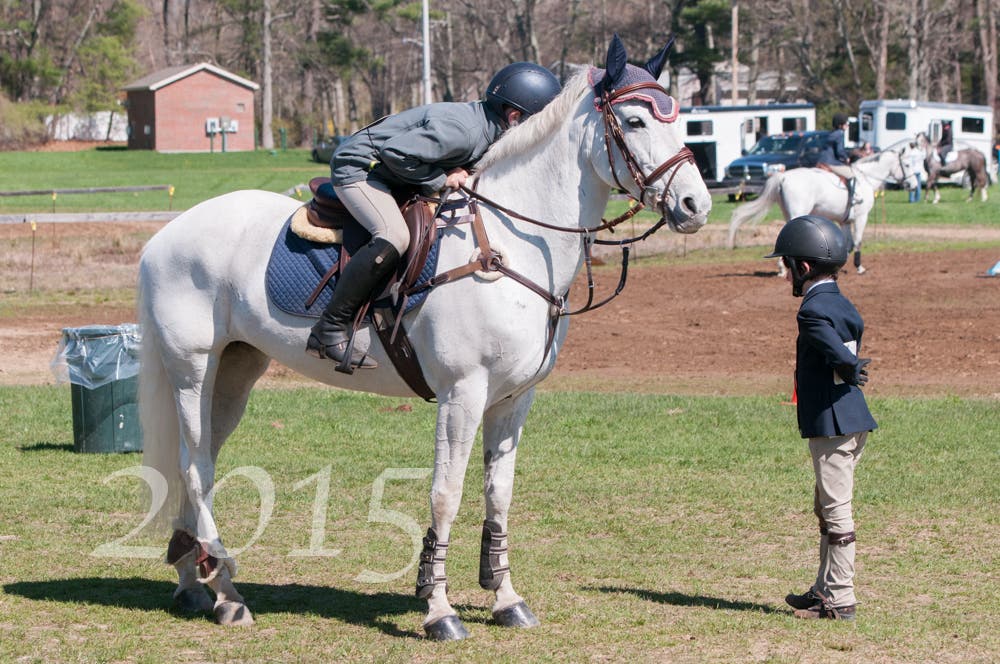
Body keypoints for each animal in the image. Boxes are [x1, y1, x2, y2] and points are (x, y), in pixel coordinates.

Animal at [137, 35, 711, 641]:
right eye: (635, 120)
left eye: (680, 121)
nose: (696, 207)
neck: (511, 244)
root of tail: (165, 234)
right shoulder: (463, 393)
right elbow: (446, 494)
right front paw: (439, 609)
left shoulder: (513, 399)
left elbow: (498, 494)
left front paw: (506, 598)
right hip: (192, 368)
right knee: (195, 466)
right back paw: (226, 592)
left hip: (237, 368)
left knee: (197, 461)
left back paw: (192, 582)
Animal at [727, 145, 919, 275]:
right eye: (907, 165)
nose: (914, 185)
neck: (866, 178)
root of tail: (783, 176)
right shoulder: (861, 217)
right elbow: (857, 242)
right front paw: (859, 267)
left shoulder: (844, 221)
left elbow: (847, 244)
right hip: (798, 211)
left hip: (789, 213)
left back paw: (782, 268)